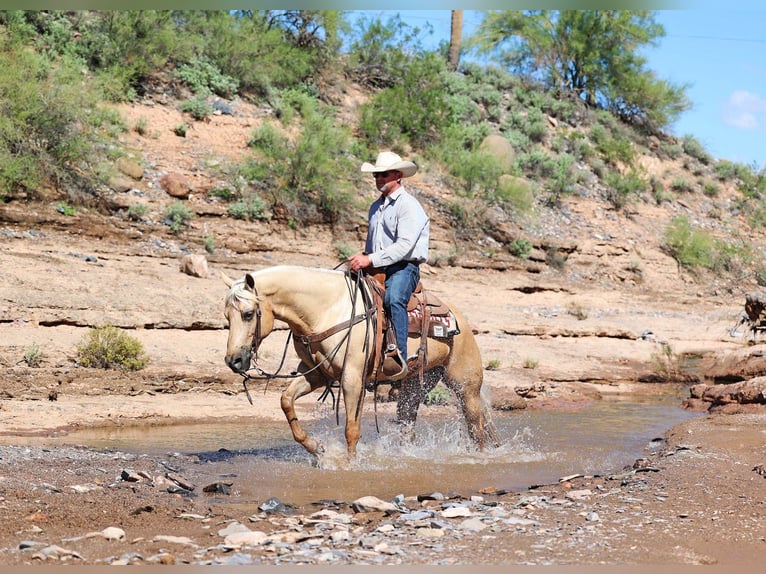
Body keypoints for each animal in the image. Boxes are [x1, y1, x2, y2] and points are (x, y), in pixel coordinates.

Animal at [223, 264, 500, 460]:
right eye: (226, 316)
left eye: (248, 314)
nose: (233, 360)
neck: (327, 310)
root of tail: (459, 319)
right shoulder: (316, 374)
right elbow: (286, 401)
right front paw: (316, 448)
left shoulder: (352, 377)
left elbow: (351, 429)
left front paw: (350, 465)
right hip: (416, 386)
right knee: (408, 424)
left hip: (465, 386)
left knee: (476, 427)